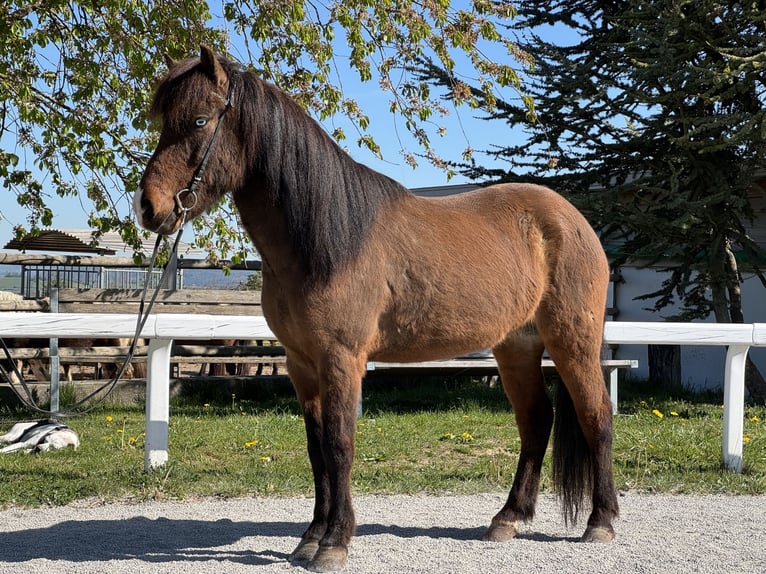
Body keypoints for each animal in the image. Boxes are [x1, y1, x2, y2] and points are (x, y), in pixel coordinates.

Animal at [134, 46, 618, 572]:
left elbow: (340, 445)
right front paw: (310, 537)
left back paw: (601, 523)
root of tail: (573, 220)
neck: (326, 240)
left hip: (572, 341)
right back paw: (507, 519)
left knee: (596, 416)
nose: (149, 208)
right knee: (535, 421)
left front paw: (334, 542)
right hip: (516, 346)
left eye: (200, 120)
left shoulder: (342, 359)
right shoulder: (301, 364)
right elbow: (316, 450)